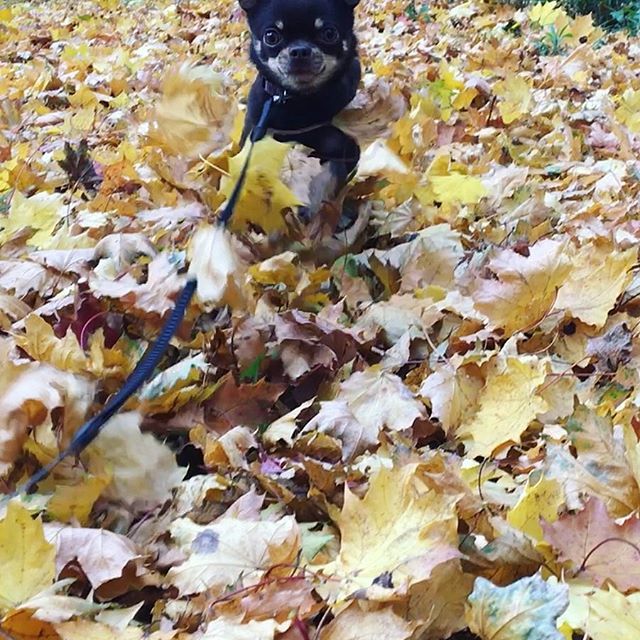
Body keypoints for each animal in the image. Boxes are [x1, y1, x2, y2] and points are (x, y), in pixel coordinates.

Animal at [239, 0, 360, 210]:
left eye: (329, 33)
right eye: (271, 37)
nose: (300, 51)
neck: (297, 99)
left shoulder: (344, 148)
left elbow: (329, 173)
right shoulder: (256, 135)